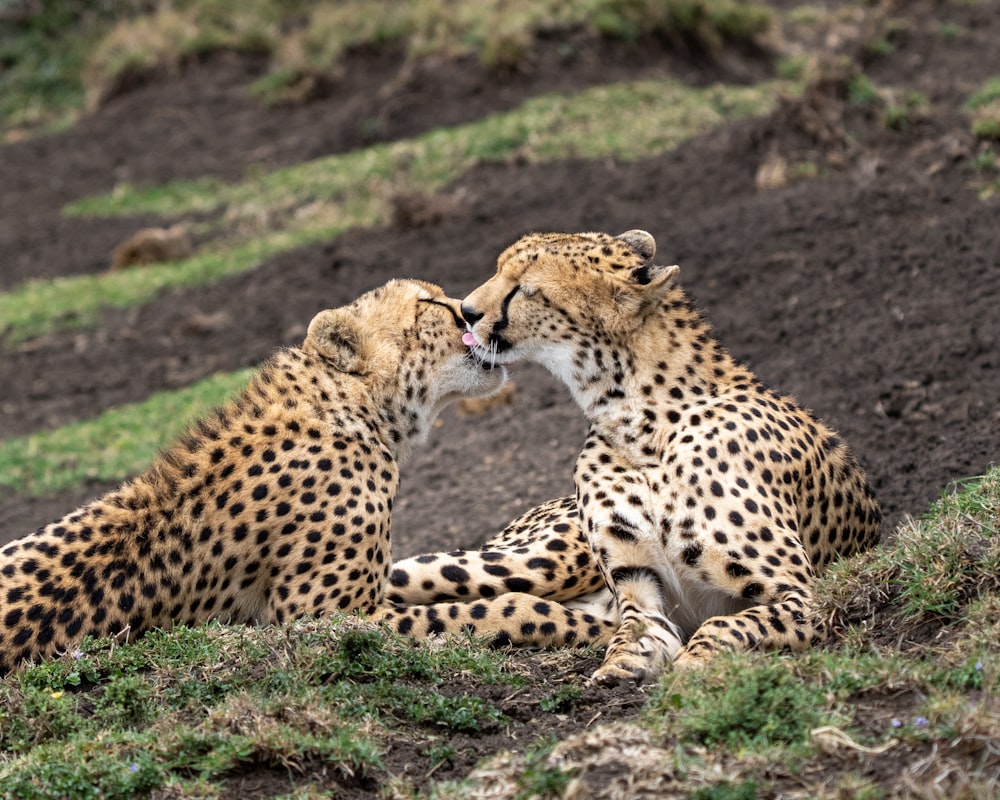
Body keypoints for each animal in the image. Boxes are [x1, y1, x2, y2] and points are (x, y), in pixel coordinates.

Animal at [0, 280, 612, 676]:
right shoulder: (319, 618)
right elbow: (490, 609)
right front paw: (592, 628)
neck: (350, 406)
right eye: (430, 303)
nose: (469, 311)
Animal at [458, 228, 880, 684]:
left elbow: (727, 623)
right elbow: (633, 634)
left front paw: (693, 666)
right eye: (500, 269)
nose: (465, 311)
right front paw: (621, 667)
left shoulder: (807, 595)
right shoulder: (639, 589)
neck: (638, 424)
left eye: (525, 289)